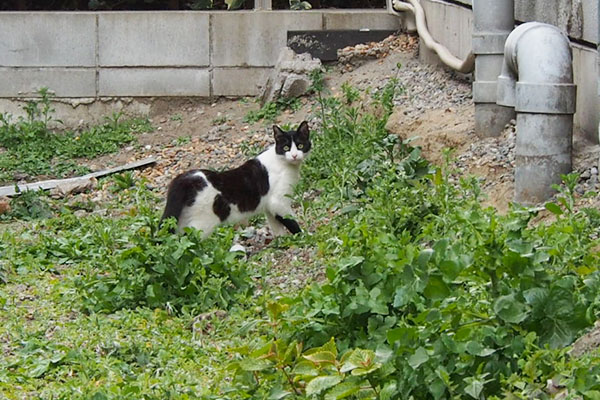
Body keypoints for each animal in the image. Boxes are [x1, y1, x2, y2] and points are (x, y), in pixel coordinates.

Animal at [161, 120, 310, 236]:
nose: (295, 155)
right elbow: (291, 222)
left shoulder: (269, 206)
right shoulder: (278, 202)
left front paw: (282, 241)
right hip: (203, 223)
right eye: (286, 148)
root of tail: (183, 179)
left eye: (300, 145)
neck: (284, 163)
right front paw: (303, 236)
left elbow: (276, 226)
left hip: (179, 219)